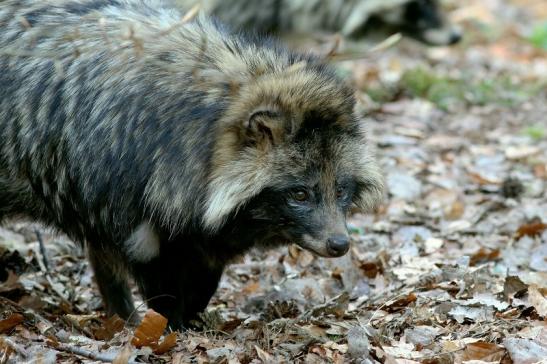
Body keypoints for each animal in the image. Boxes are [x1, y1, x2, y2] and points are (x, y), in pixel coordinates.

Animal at [0, 0, 384, 328]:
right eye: (300, 194)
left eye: (341, 190)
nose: (341, 244)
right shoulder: (133, 228)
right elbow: (162, 298)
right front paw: (166, 332)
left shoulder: (199, 237)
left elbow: (198, 288)